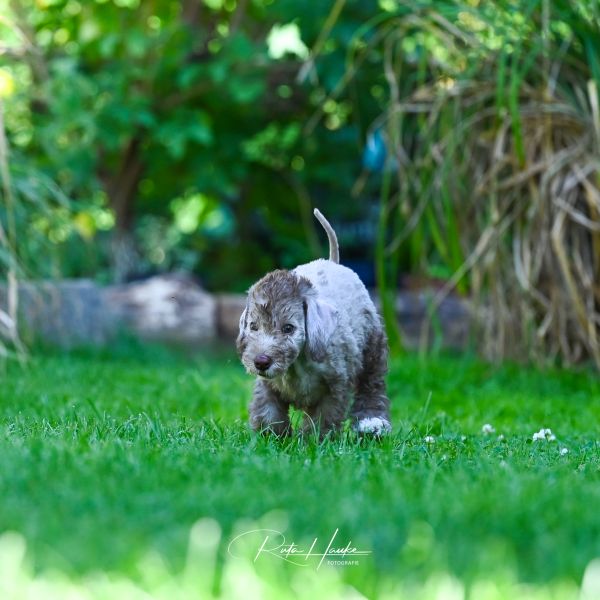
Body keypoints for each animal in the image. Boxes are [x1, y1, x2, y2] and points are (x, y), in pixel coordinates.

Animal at [237, 210, 392, 436]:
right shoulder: (268, 385)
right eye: (253, 327)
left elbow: (322, 418)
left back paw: (372, 422)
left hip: (373, 345)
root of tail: (333, 263)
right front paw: (270, 436)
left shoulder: (335, 387)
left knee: (372, 385)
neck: (297, 364)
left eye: (288, 328)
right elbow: (268, 410)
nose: (261, 362)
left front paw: (314, 439)